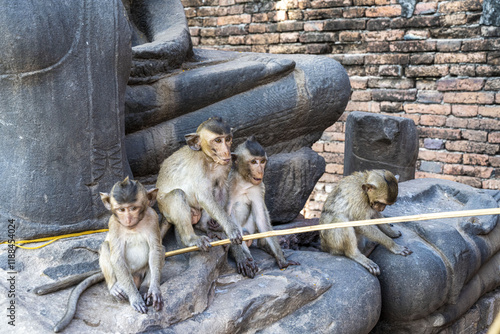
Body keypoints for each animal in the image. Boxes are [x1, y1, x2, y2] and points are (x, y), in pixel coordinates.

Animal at [51, 177, 163, 332]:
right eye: (121, 210)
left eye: (133, 208)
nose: (128, 218)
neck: (133, 227)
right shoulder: (113, 224)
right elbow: (117, 257)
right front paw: (134, 297)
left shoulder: (153, 218)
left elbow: (155, 250)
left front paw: (154, 289)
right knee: (105, 246)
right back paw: (115, 287)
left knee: (158, 253)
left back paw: (145, 289)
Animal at [227, 136, 300, 276]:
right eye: (253, 162)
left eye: (262, 161)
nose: (260, 171)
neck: (243, 182)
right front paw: (243, 258)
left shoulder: (259, 187)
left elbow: (261, 219)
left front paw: (282, 260)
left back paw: (263, 246)